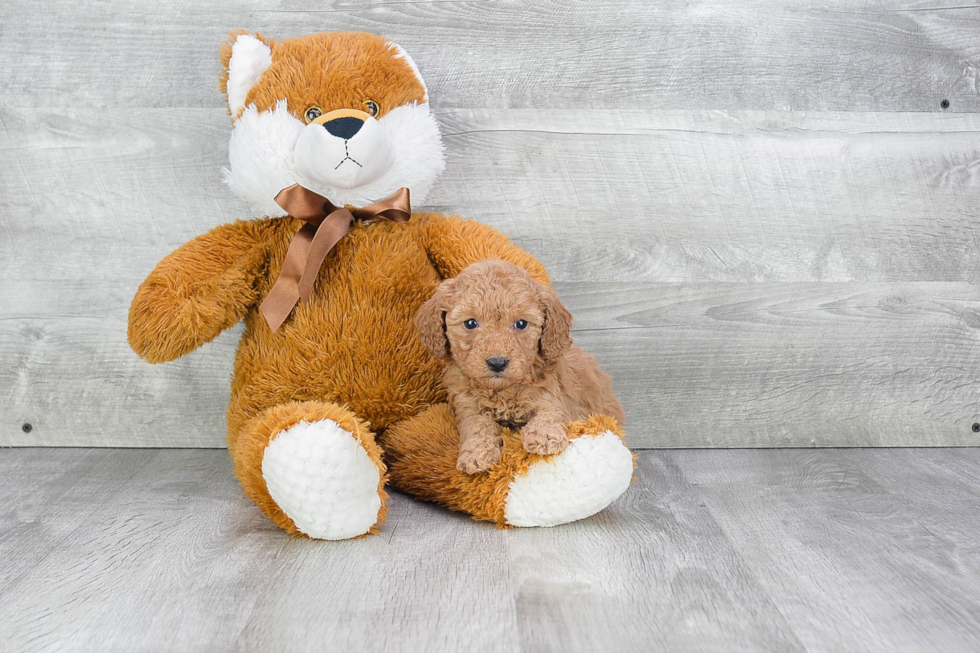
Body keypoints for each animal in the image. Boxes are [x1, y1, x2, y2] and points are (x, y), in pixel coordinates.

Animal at [416, 258, 628, 474]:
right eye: (470, 323)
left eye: (521, 324)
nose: (497, 363)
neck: (503, 391)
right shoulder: (467, 404)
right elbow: (476, 425)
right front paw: (477, 454)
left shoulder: (552, 393)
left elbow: (550, 413)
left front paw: (545, 436)